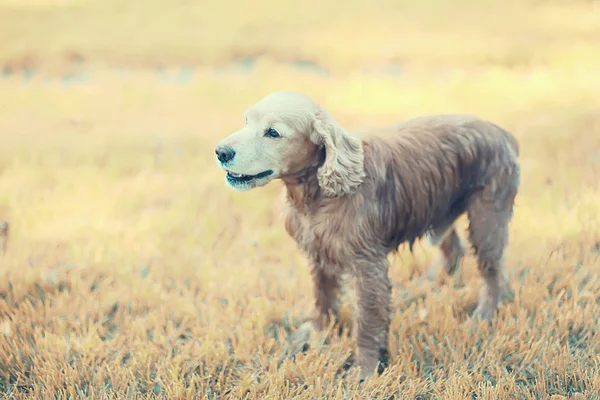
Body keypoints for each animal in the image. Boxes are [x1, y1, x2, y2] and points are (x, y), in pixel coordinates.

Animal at [216, 90, 520, 382]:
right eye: (246, 121)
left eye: (273, 132)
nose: (220, 151)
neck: (319, 194)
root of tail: (502, 133)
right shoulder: (318, 253)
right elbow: (322, 297)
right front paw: (317, 332)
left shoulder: (368, 265)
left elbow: (368, 321)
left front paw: (364, 370)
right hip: (439, 208)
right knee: (453, 249)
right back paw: (427, 286)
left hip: (486, 219)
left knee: (493, 274)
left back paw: (482, 316)